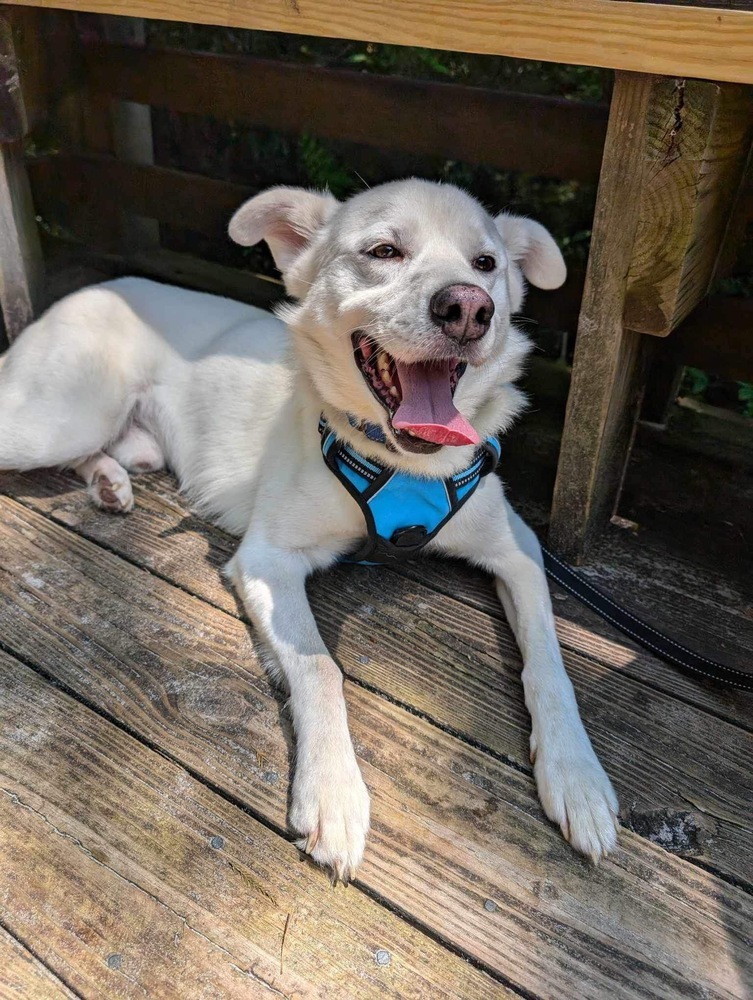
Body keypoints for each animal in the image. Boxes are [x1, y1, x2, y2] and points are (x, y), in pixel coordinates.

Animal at [0, 182, 616, 884]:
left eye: (486, 265)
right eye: (384, 251)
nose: (468, 309)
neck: (402, 464)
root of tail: (92, 288)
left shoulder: (518, 550)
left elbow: (550, 662)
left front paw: (577, 776)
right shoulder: (267, 560)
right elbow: (321, 668)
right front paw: (334, 792)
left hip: (127, 441)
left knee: (102, 455)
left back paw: (108, 484)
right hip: (60, 418)